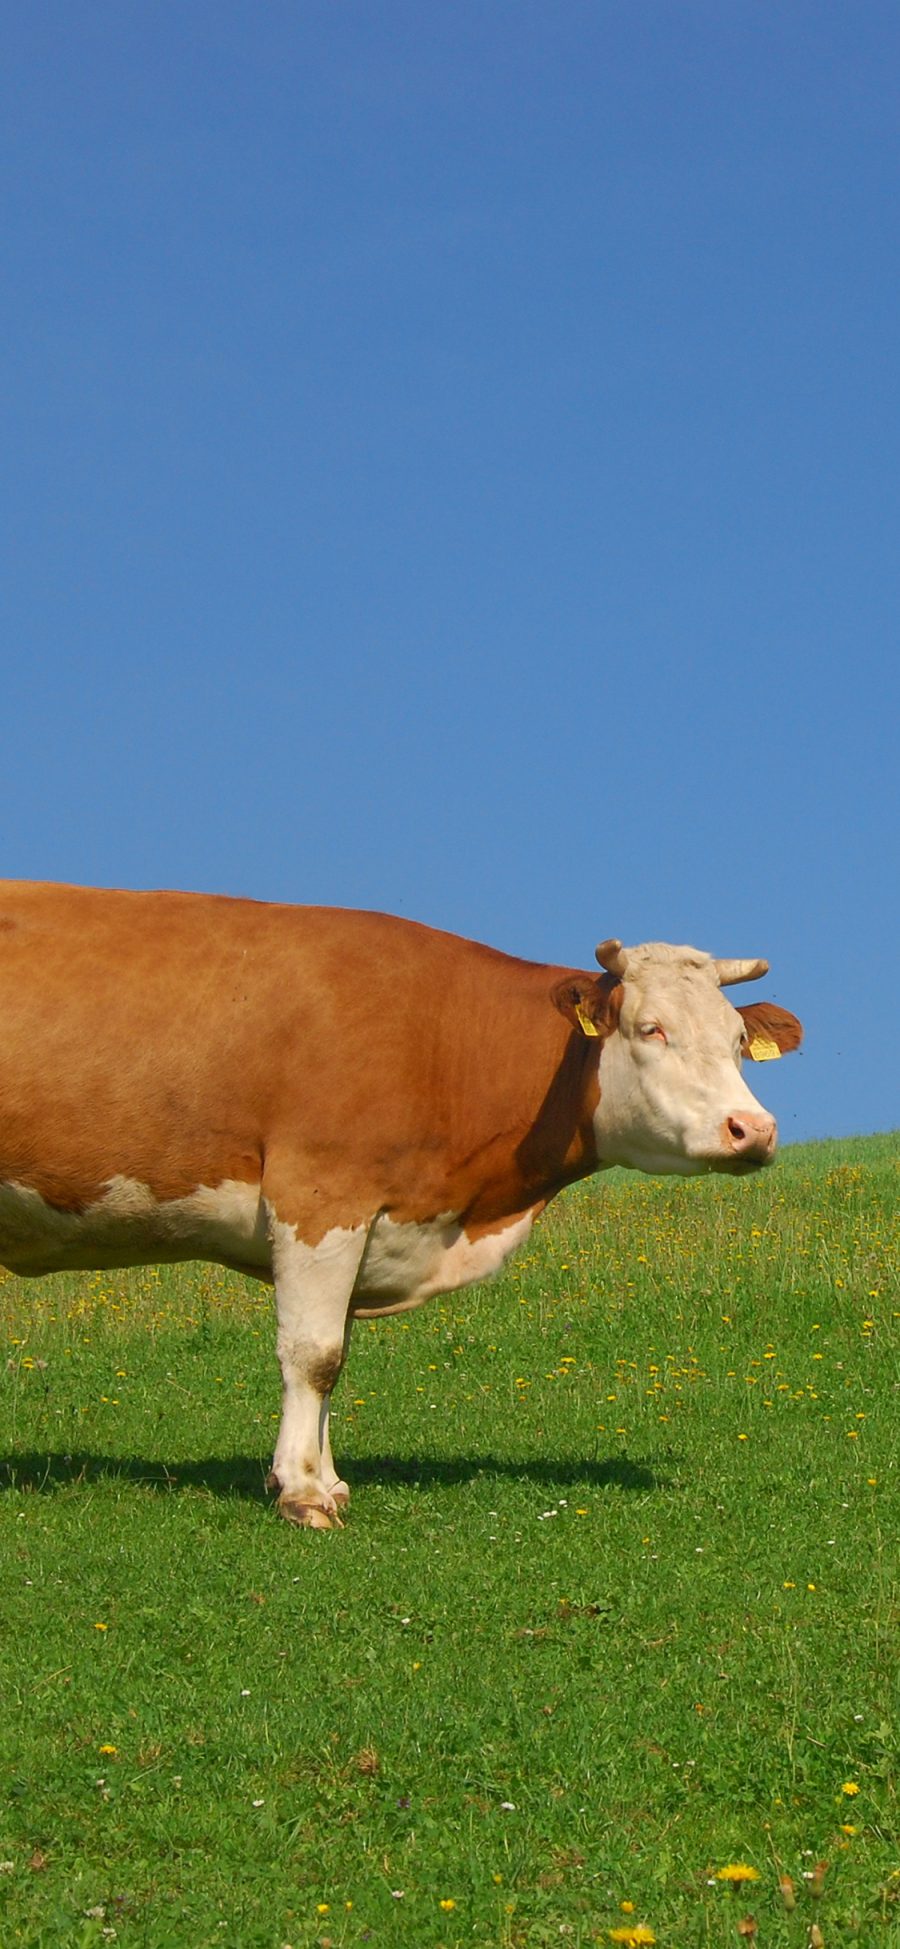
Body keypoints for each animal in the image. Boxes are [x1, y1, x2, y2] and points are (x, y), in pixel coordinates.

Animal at [0, 880, 802, 1520]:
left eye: (738, 1038)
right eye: (650, 1028)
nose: (753, 1129)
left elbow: (336, 1352)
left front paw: (326, 1477)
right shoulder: (321, 1195)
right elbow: (314, 1352)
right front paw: (303, 1493)